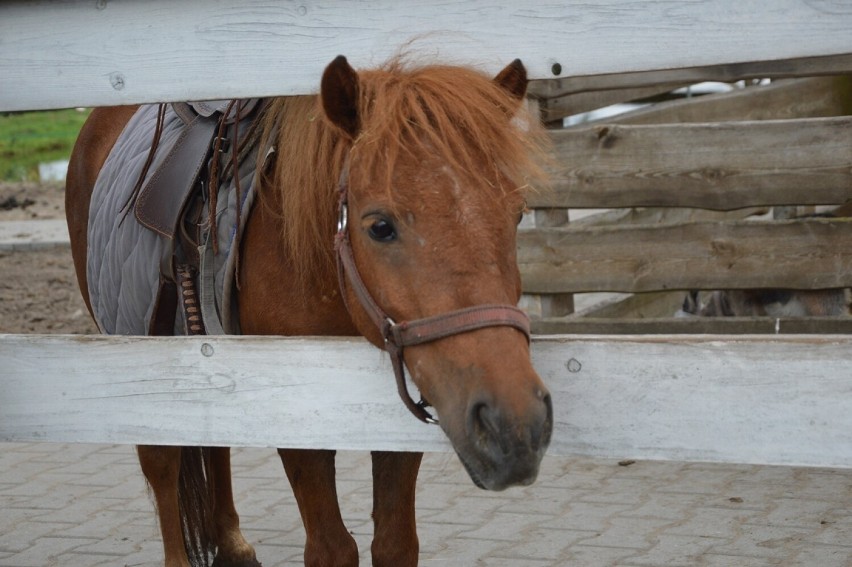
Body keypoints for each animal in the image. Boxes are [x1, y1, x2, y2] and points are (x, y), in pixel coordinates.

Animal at [68, 54, 560, 567]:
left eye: (517, 214)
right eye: (379, 226)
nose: (514, 427)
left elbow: (394, 544)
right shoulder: (295, 411)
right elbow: (331, 548)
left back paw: (232, 544)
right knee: (161, 463)